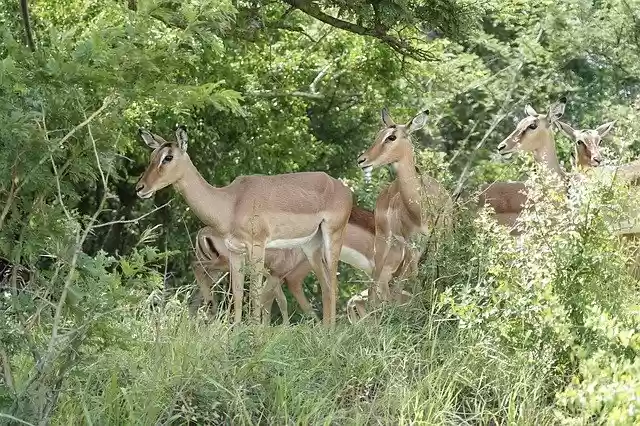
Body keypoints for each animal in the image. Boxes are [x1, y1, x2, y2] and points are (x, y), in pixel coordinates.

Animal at [136, 125, 352, 324]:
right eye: (152, 155)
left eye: (168, 157)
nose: (140, 188)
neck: (231, 202)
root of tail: (343, 189)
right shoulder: (235, 250)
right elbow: (239, 293)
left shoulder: (257, 247)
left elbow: (256, 294)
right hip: (310, 246)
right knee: (325, 285)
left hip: (333, 238)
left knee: (333, 284)